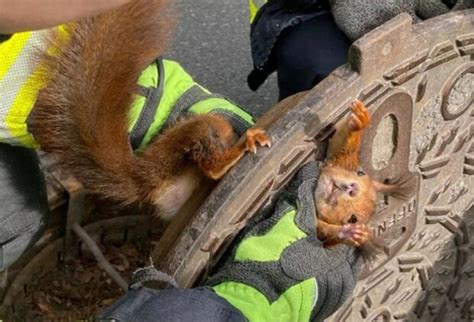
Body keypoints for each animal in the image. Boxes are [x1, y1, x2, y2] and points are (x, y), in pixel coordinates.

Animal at [314, 100, 412, 247]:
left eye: (353, 219)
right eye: (360, 172)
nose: (353, 188)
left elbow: (322, 234)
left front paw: (349, 233)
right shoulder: (341, 160)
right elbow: (342, 146)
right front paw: (361, 120)